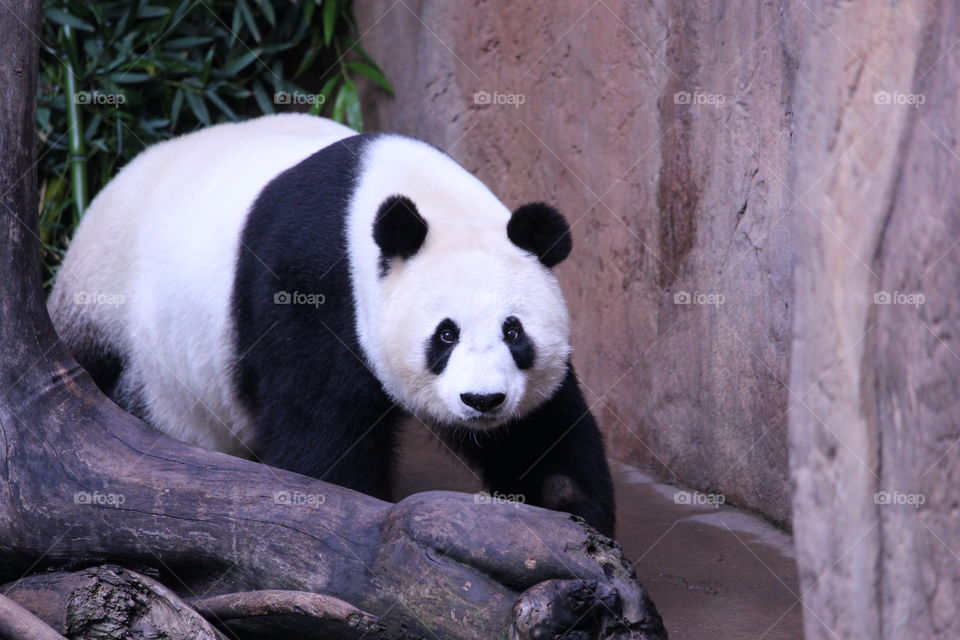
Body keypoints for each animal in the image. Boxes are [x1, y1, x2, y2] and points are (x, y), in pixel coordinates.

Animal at [48, 114, 616, 535]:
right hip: (107, 296)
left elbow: (542, 431)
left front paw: (568, 515)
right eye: (446, 334)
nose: (483, 401)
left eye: (513, 332)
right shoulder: (312, 285)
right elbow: (320, 437)